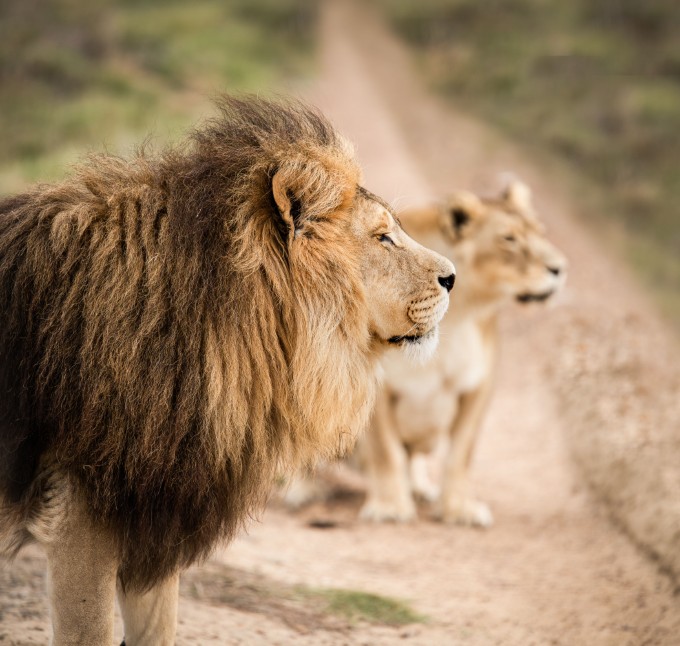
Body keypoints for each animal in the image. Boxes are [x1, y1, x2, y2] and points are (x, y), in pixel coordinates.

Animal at [0, 96, 455, 644]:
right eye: (384, 237)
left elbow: (158, 632)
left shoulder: (156, 510)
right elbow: (87, 633)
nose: (453, 277)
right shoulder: (79, 514)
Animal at [358, 179, 567, 526]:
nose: (560, 269)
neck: (457, 314)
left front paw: (459, 508)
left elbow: (460, 454)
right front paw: (390, 507)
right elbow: (386, 451)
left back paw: (420, 488)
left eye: (540, 232)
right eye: (509, 239)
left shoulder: (477, 388)